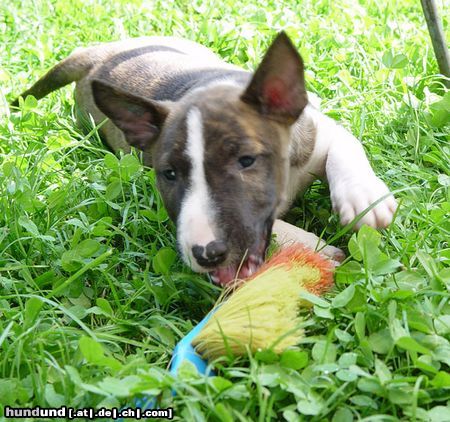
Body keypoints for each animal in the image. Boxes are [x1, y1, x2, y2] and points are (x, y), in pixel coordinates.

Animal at [12, 32, 396, 284]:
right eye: (170, 175)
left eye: (246, 160)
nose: (207, 254)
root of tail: (96, 54)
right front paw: (318, 249)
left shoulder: (317, 131)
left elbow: (347, 148)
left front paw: (365, 199)